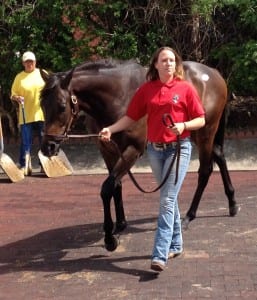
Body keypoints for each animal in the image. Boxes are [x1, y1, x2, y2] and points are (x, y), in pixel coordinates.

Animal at [39, 58, 238, 251]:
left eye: (62, 106)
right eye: (42, 104)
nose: (48, 146)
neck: (119, 96)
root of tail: (214, 73)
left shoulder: (133, 150)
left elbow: (107, 188)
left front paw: (110, 238)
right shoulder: (107, 150)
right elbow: (116, 185)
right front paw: (120, 225)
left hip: (206, 132)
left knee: (205, 170)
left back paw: (189, 216)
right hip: (195, 132)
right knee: (219, 155)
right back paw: (232, 203)